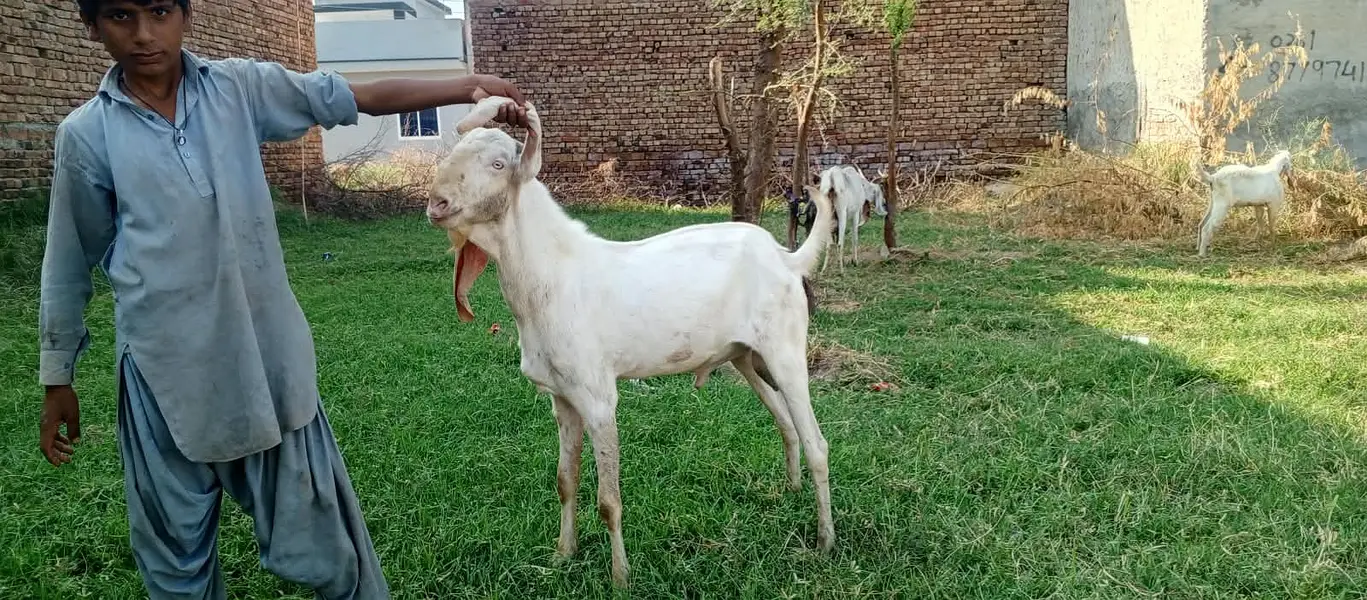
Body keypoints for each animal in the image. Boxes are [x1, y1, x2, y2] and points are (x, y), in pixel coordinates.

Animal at [425, 96, 838, 588]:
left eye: (498, 163)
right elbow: (565, 480)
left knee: (817, 442)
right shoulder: (561, 397)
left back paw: (825, 541)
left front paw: (620, 576)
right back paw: (789, 492)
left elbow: (608, 499)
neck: (553, 275)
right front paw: (563, 554)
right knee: (785, 422)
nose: (435, 202)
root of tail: (786, 258)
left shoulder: (598, 396)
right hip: (746, 357)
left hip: (785, 348)